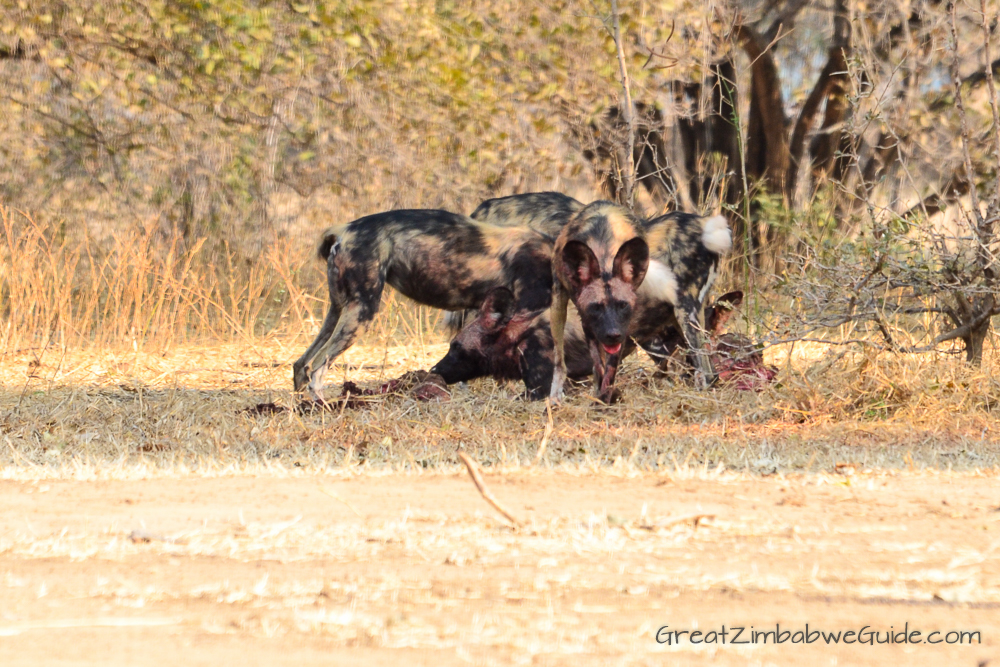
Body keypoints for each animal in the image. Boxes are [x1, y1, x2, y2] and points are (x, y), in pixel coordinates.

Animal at [548, 201, 648, 404]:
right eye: (596, 307)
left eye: (622, 305)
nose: (612, 334)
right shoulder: (588, 323)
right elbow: (598, 365)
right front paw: (601, 400)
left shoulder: (622, 327)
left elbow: (610, 368)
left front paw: (606, 397)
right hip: (557, 308)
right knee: (559, 360)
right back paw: (555, 397)